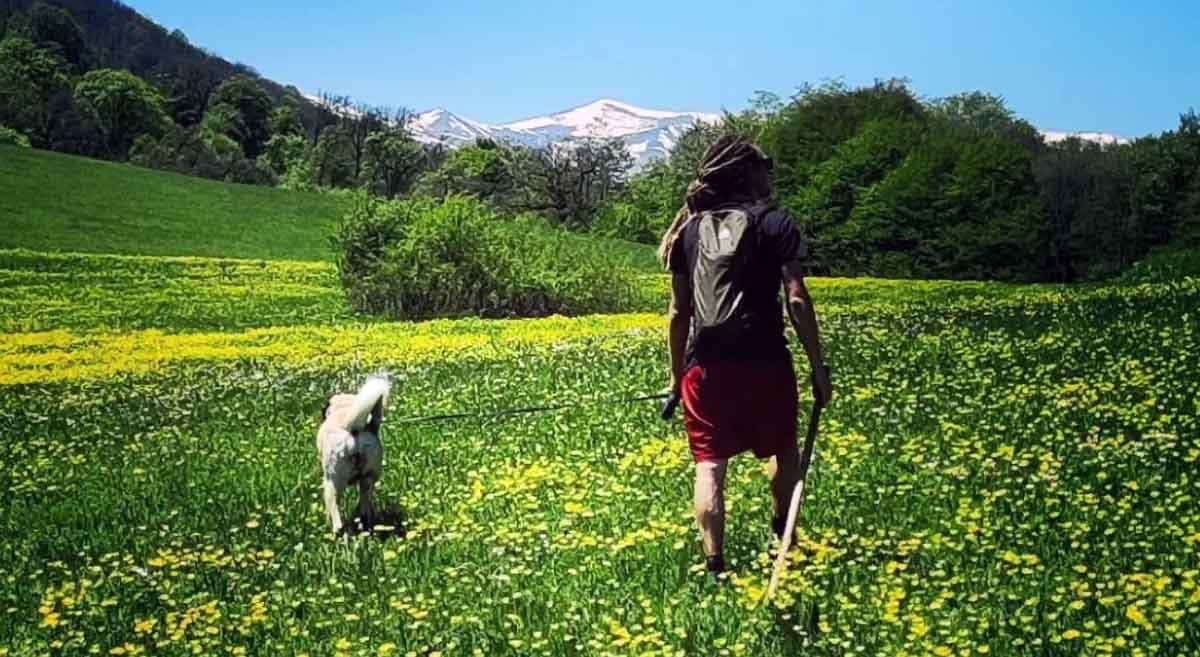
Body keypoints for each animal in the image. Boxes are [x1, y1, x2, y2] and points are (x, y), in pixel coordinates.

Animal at [316, 374, 391, 534]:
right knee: (364, 507)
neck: (343, 409)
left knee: (336, 515)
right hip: (368, 478)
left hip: (333, 482)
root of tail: (353, 429)